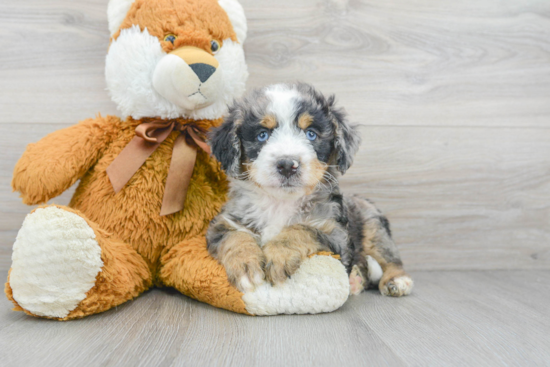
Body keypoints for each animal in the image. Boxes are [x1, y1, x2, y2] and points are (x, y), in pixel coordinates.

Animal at [207, 82, 414, 298]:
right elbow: (235, 237)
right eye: (262, 135)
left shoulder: (335, 233)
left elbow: (301, 229)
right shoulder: (224, 222)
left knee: (390, 258)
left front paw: (279, 255)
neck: (280, 203)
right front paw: (245, 266)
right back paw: (356, 281)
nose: (287, 165)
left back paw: (396, 281)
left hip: (374, 227)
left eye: (311, 134)